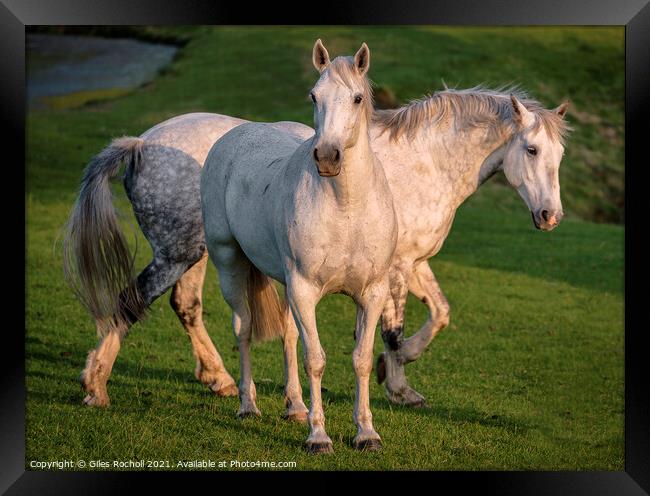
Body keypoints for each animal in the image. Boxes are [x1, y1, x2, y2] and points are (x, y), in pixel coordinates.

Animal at [201, 41, 394, 454]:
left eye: (357, 98)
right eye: (314, 96)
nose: (327, 157)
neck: (346, 207)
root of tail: (236, 135)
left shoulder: (372, 293)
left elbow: (361, 359)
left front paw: (366, 433)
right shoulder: (305, 290)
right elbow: (316, 360)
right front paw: (318, 437)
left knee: (288, 334)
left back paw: (295, 407)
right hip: (229, 263)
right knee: (243, 329)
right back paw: (248, 405)